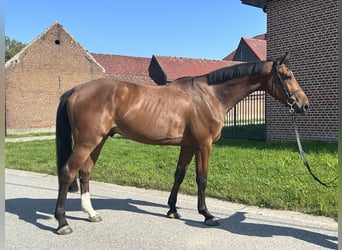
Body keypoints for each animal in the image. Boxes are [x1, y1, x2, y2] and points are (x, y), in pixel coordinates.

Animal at [54, 51, 308, 234]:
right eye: (287, 76)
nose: (304, 105)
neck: (211, 96)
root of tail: (76, 89)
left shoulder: (188, 146)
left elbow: (179, 175)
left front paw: (172, 210)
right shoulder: (204, 145)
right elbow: (201, 179)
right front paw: (207, 215)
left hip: (98, 141)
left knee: (85, 172)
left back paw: (91, 213)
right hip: (87, 142)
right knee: (68, 172)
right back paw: (62, 222)